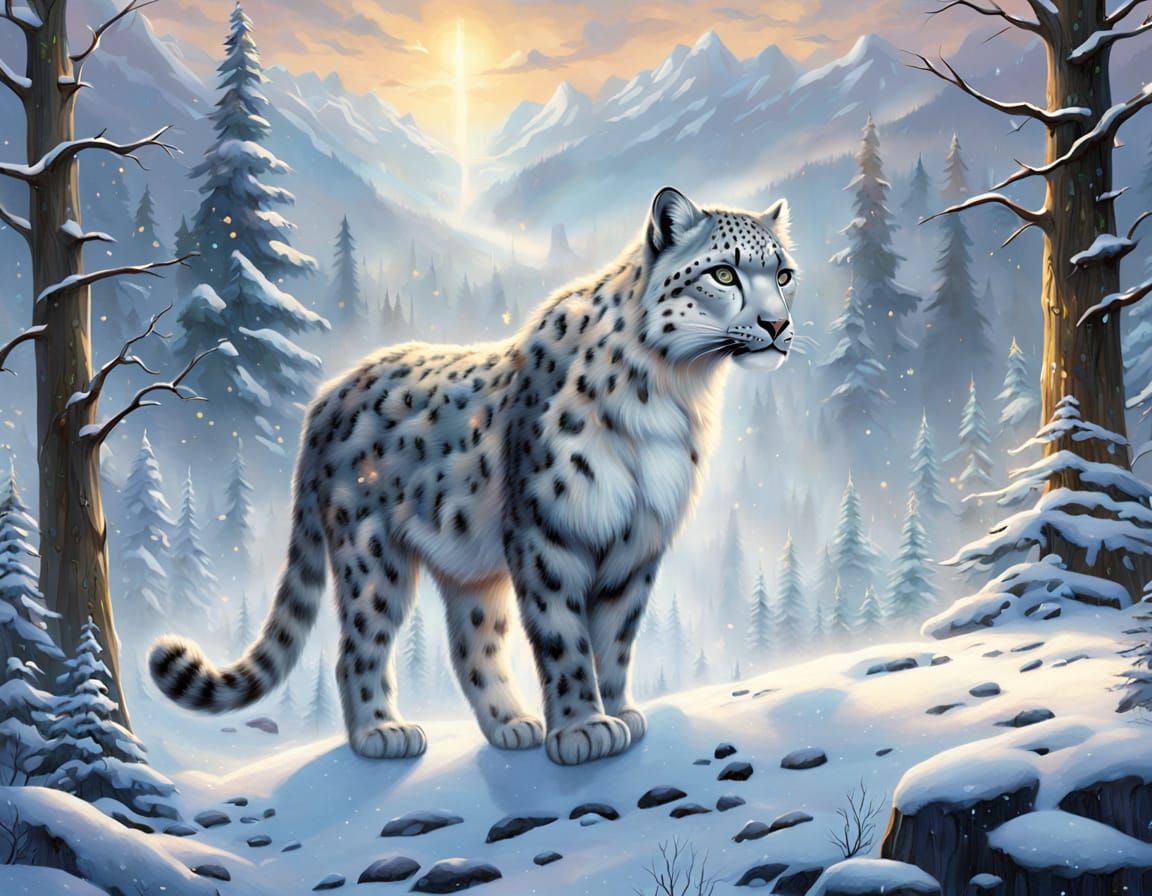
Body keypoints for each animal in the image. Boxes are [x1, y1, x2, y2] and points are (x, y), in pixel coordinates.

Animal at [150, 186, 798, 766]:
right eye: (724, 274)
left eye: (784, 275)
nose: (775, 325)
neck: (673, 392)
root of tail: (328, 395)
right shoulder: (549, 532)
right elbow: (565, 638)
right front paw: (583, 730)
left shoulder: (636, 543)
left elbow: (614, 640)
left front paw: (619, 713)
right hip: (370, 556)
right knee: (357, 646)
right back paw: (382, 733)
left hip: (471, 572)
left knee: (473, 646)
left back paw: (512, 724)